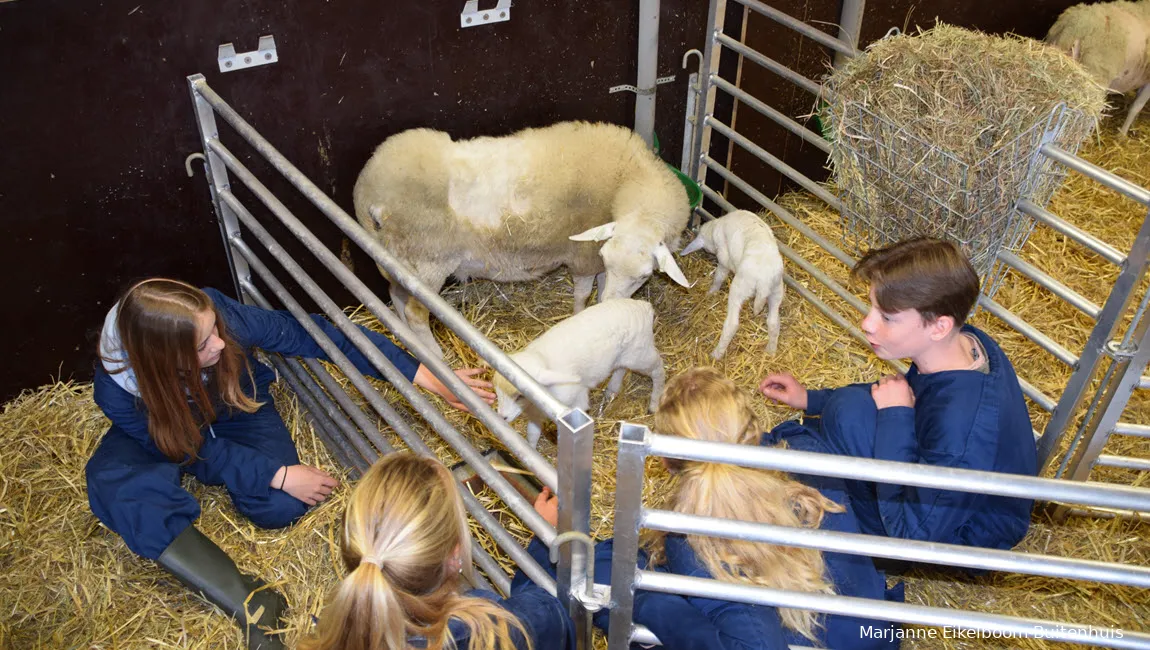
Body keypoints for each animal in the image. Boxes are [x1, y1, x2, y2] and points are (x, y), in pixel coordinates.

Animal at [349, 119, 690, 356]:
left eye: (644, 275)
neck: (629, 180)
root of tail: (368, 197)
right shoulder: (584, 255)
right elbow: (582, 294)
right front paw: (582, 315)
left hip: (396, 260)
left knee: (396, 297)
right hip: (428, 262)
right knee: (416, 314)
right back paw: (436, 356)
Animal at [492, 296, 667, 446]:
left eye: (519, 396)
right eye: (497, 392)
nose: (502, 417)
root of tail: (643, 306)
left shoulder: (576, 400)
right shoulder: (535, 413)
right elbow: (532, 435)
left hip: (640, 353)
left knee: (658, 368)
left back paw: (654, 402)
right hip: (624, 354)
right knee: (621, 368)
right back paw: (612, 389)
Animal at [680, 209, 782, 356]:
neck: (715, 226)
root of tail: (764, 282)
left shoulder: (724, 259)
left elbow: (719, 277)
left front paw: (711, 292)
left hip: (739, 289)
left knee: (732, 324)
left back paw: (716, 354)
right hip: (777, 290)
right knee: (773, 323)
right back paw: (771, 351)